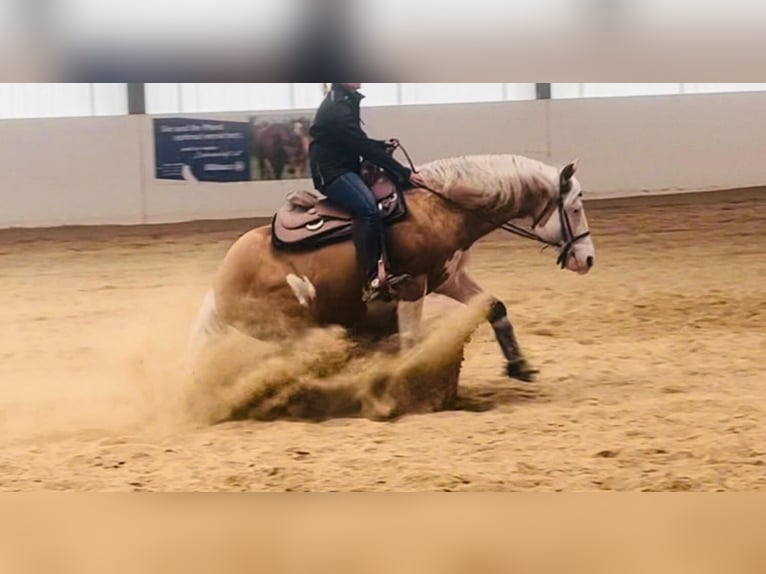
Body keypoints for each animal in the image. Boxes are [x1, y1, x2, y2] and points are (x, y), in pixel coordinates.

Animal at [190, 153, 595, 383]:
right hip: (292, 322)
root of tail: (219, 285)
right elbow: (412, 341)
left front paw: (519, 366)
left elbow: (494, 307)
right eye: (575, 207)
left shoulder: (447, 277)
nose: (588, 259)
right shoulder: (412, 285)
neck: (440, 208)